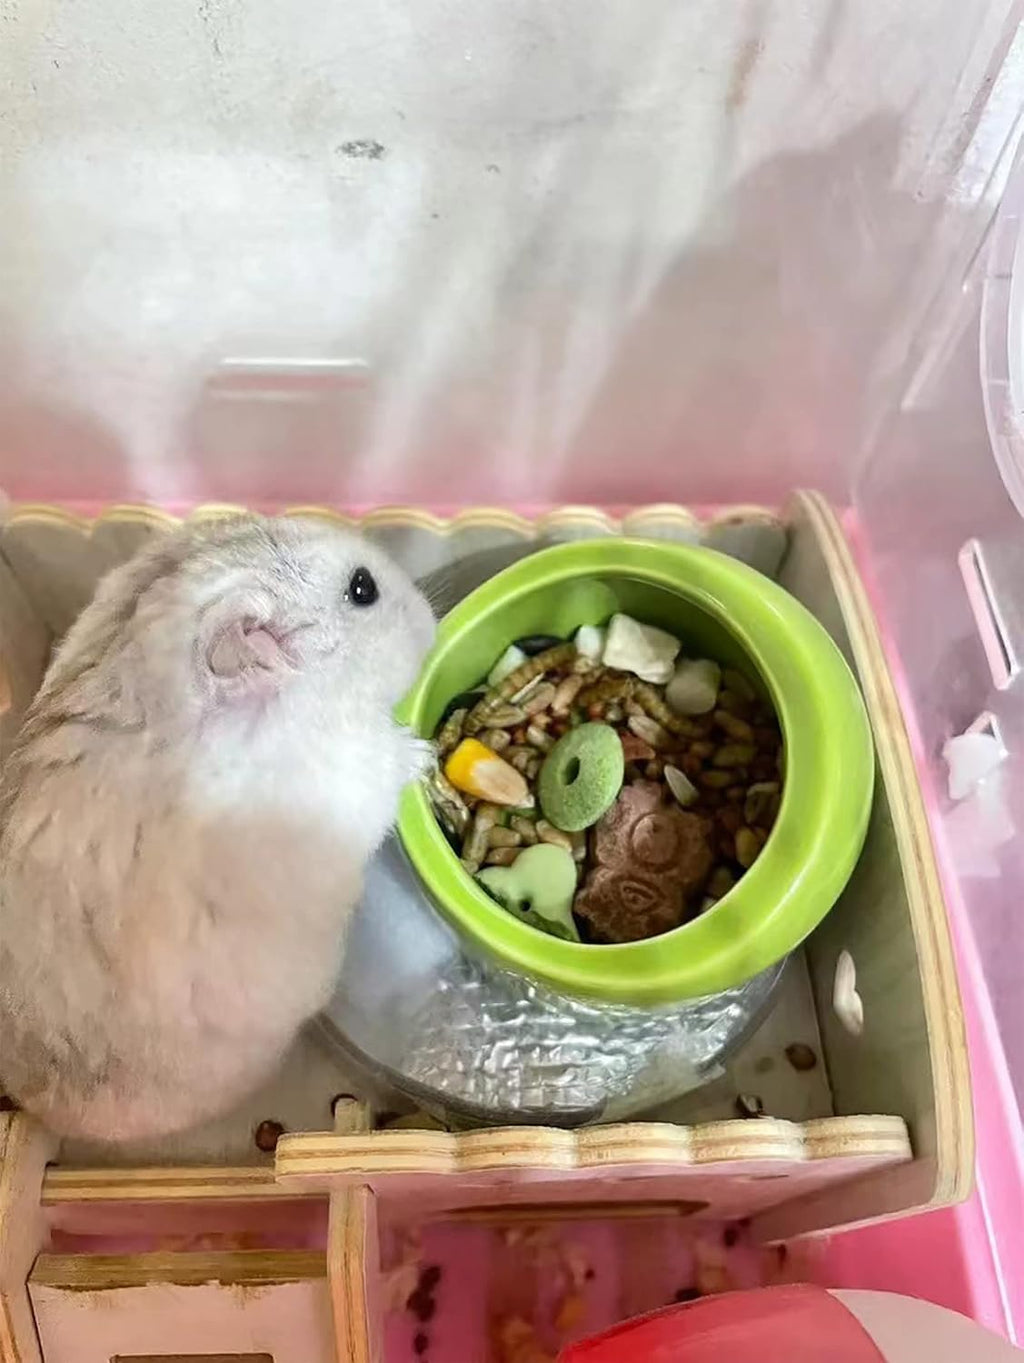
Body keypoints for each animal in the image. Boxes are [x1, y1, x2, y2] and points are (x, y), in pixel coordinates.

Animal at [0, 514, 435, 1141]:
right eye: (362, 589)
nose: (433, 620)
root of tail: (36, 1108)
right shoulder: (353, 771)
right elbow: (389, 761)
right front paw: (424, 754)